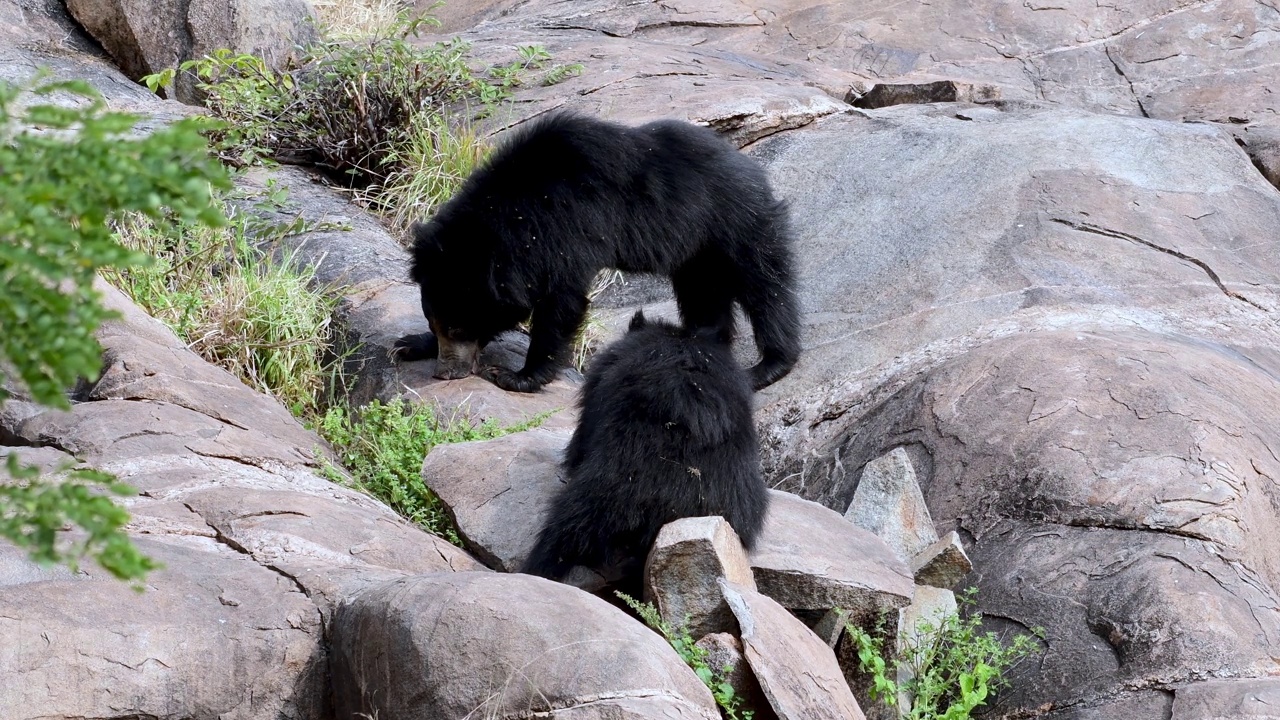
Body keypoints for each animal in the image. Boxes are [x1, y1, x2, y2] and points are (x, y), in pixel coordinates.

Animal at [394, 112, 803, 392]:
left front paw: (517, 376)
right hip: (696, 252)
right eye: (434, 321)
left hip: (736, 223)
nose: (446, 372)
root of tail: (750, 167)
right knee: (704, 295)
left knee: (766, 288)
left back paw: (766, 367)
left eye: (461, 326)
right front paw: (409, 345)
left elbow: (562, 303)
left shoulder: (568, 228)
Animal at [522, 311, 768, 591]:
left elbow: (584, 431)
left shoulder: (602, 384)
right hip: (738, 507)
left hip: (607, 490)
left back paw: (536, 568)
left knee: (564, 532)